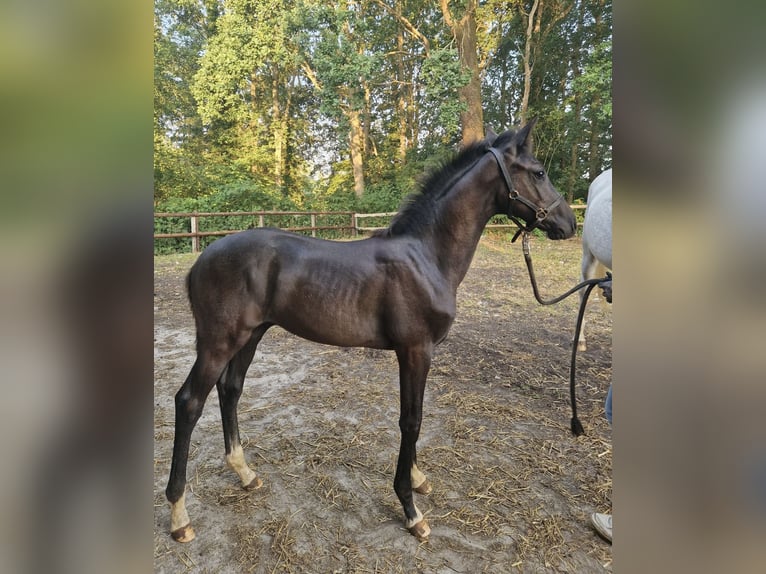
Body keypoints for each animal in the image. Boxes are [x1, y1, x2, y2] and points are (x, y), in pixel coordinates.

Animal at [165, 119, 577, 544]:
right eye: (539, 172)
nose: (569, 223)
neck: (426, 256)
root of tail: (200, 260)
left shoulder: (415, 353)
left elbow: (414, 417)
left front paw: (418, 478)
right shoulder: (416, 350)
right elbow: (411, 420)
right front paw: (411, 511)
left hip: (251, 334)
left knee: (230, 390)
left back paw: (245, 473)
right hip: (219, 341)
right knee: (189, 402)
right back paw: (180, 517)